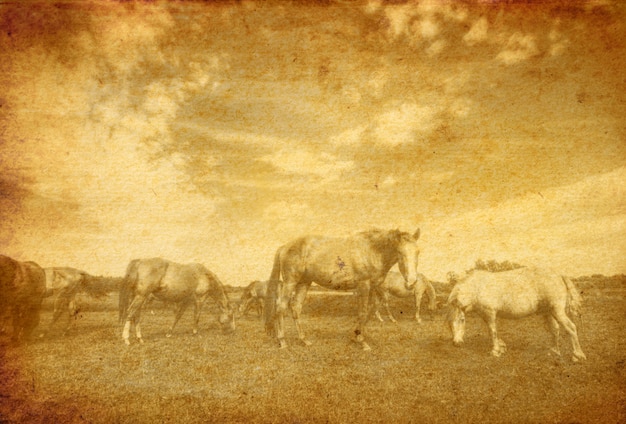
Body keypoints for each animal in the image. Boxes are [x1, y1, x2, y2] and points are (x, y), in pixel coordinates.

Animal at [264, 229, 420, 352]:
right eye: (400, 252)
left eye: (418, 252)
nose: (412, 282)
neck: (370, 251)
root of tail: (285, 246)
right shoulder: (363, 286)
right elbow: (363, 312)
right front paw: (362, 342)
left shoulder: (373, 288)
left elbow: (370, 311)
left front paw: (355, 337)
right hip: (290, 282)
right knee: (281, 307)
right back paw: (282, 341)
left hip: (304, 283)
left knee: (296, 308)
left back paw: (304, 340)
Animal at [444, 264, 584, 362]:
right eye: (449, 324)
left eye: (462, 320)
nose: (456, 343)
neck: (478, 287)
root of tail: (558, 275)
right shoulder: (485, 315)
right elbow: (493, 331)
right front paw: (501, 347)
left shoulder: (490, 313)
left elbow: (492, 331)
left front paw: (495, 351)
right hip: (549, 312)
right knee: (555, 329)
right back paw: (554, 351)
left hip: (557, 311)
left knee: (571, 328)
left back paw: (578, 356)